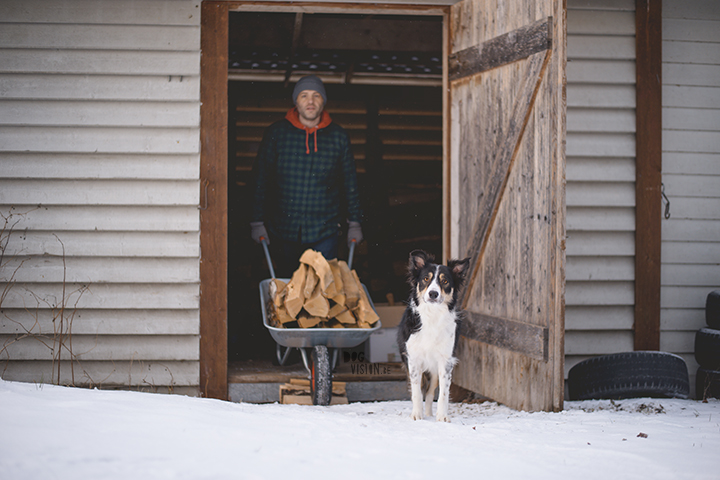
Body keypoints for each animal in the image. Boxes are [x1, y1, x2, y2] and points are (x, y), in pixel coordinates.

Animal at [396, 249, 470, 422]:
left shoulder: (445, 361)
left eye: (445, 281)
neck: (432, 314)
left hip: (434, 370)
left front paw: (442, 417)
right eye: (425, 279)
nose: (433, 293)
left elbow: (443, 393)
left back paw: (429, 413)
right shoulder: (413, 359)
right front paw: (416, 415)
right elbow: (416, 392)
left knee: (430, 393)